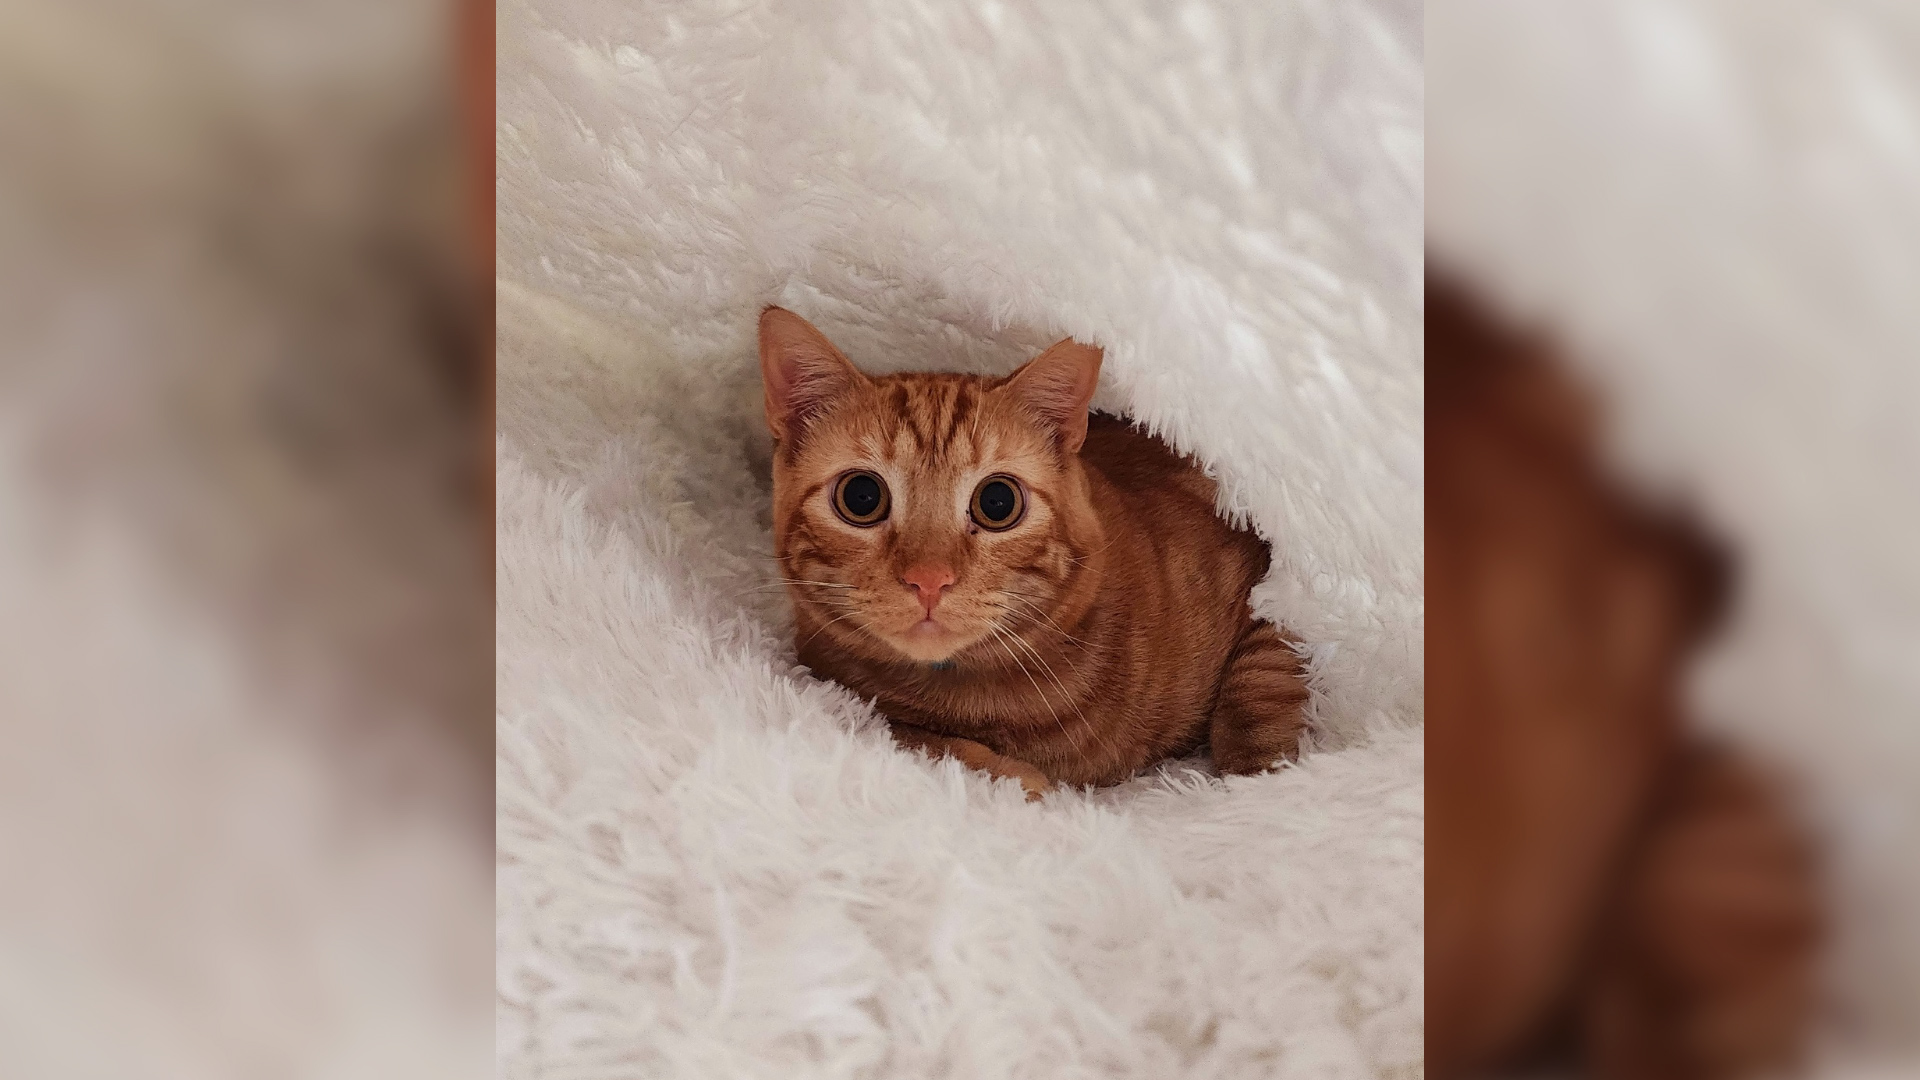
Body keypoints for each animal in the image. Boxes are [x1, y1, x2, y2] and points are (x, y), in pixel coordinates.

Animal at [756, 307, 1313, 795]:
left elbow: (1260, 686)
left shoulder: (1270, 586)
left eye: (996, 502)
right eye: (862, 497)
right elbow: (916, 738)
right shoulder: (834, 685)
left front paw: (1258, 782)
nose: (929, 579)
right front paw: (1015, 779)